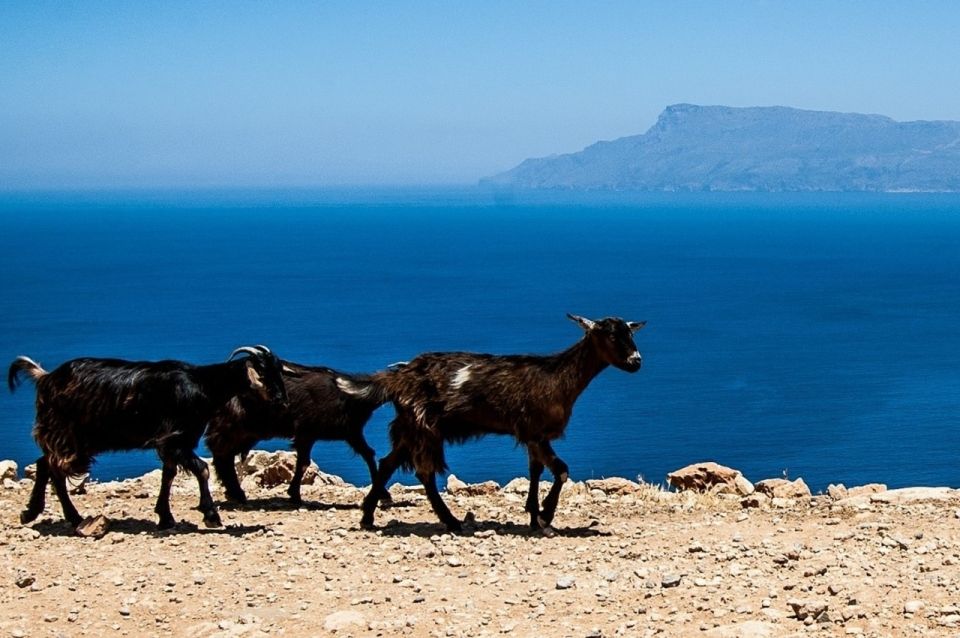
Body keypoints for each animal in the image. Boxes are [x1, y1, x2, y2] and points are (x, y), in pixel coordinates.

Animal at [7, 348, 286, 532]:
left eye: (279, 370)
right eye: (264, 372)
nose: (282, 401)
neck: (203, 385)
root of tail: (45, 377)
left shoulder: (174, 443)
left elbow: (168, 475)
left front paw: (165, 517)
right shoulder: (175, 439)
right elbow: (202, 470)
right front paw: (211, 515)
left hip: (74, 439)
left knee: (45, 464)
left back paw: (36, 513)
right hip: (68, 434)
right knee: (53, 467)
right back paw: (69, 517)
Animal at [207, 362, 394, 508]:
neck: (350, 395)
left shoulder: (351, 433)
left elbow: (368, 454)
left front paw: (384, 495)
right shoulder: (306, 432)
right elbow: (303, 462)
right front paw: (295, 495)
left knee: (225, 456)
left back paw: (234, 493)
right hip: (233, 426)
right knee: (221, 454)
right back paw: (237, 494)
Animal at [342, 316, 648, 536]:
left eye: (631, 334)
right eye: (611, 335)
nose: (636, 362)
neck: (557, 377)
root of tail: (398, 377)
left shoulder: (532, 435)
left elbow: (535, 471)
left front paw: (534, 516)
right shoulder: (535, 431)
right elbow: (561, 470)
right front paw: (545, 516)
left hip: (410, 426)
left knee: (387, 463)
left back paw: (368, 516)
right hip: (423, 425)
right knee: (424, 472)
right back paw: (451, 522)